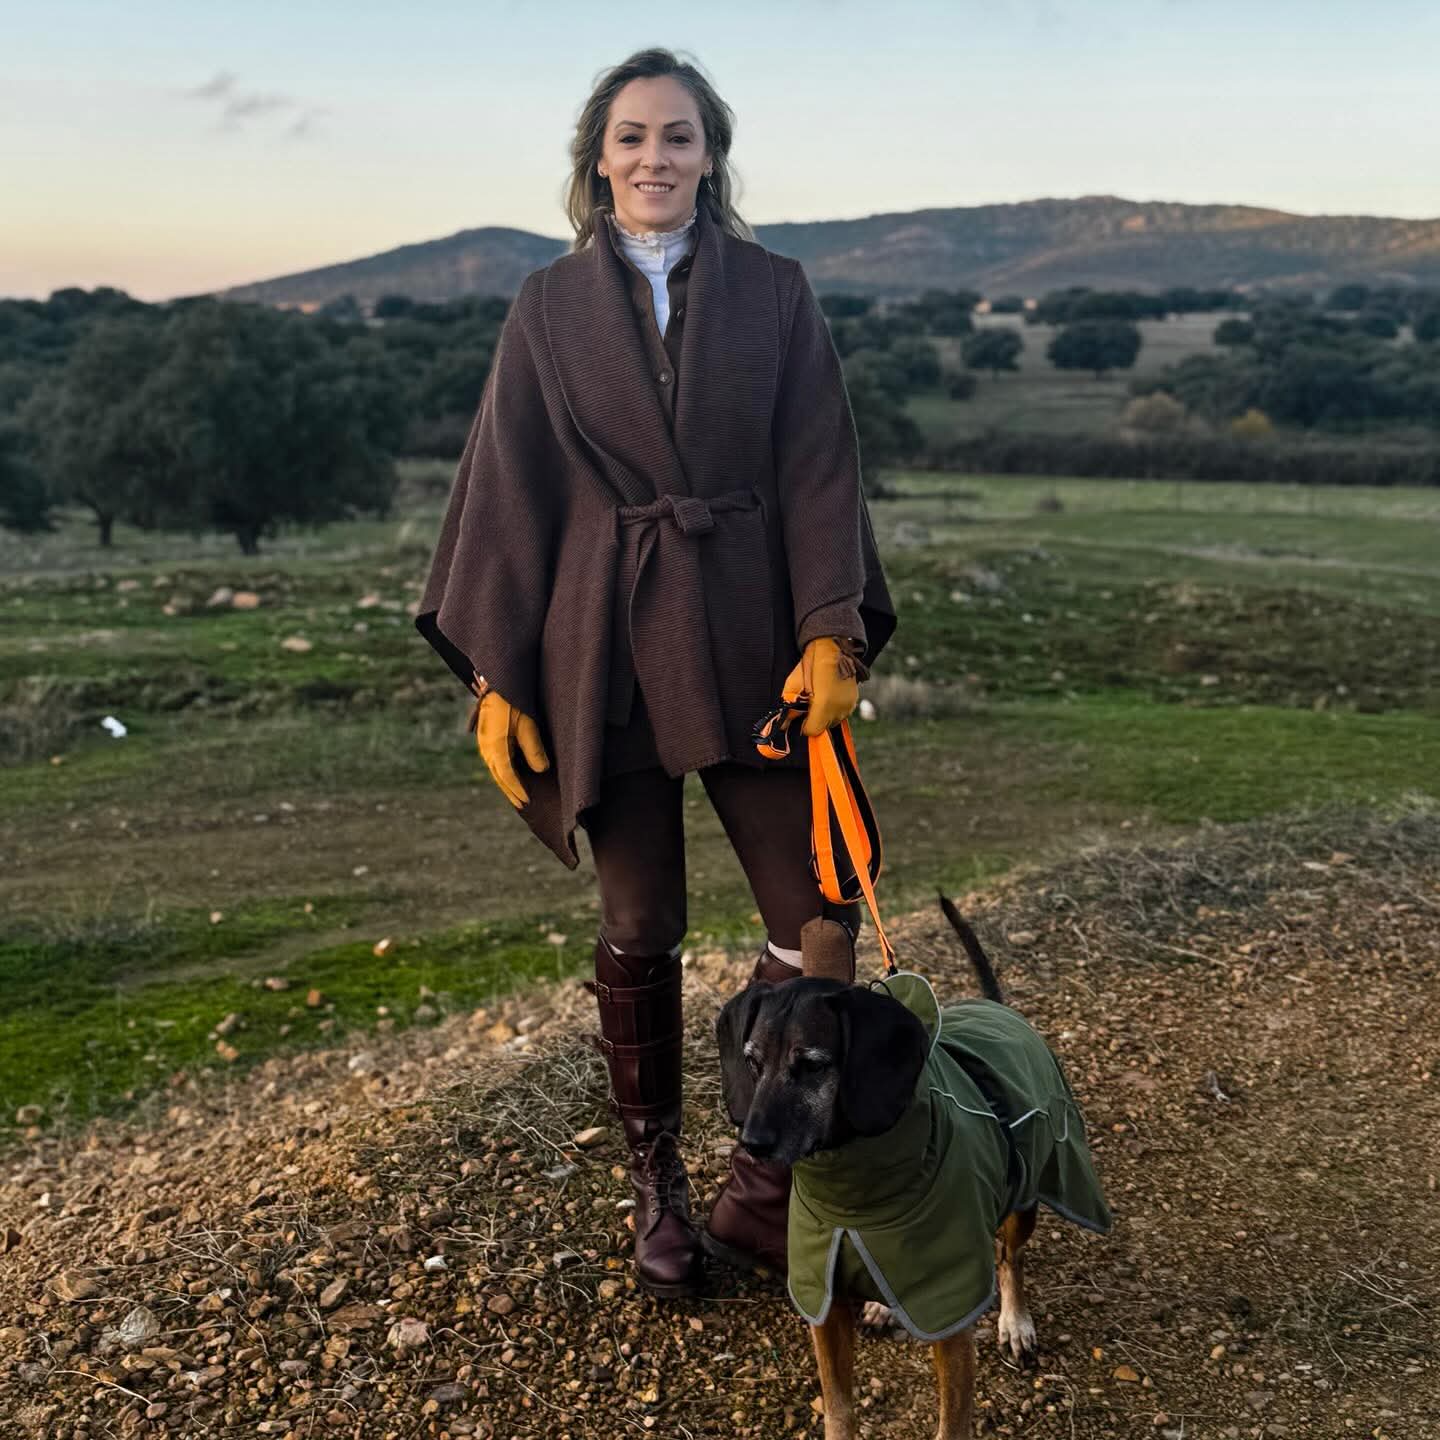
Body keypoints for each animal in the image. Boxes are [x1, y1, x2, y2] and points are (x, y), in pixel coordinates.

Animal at [714, 897, 1111, 1440]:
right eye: (751, 1063)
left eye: (813, 1065)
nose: (752, 1143)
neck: (856, 1198)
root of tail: (998, 1008)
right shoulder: (825, 1303)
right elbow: (838, 1407)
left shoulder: (951, 1317)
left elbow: (952, 1422)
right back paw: (887, 1304)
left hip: (1026, 1196)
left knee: (1010, 1257)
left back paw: (1015, 1321)